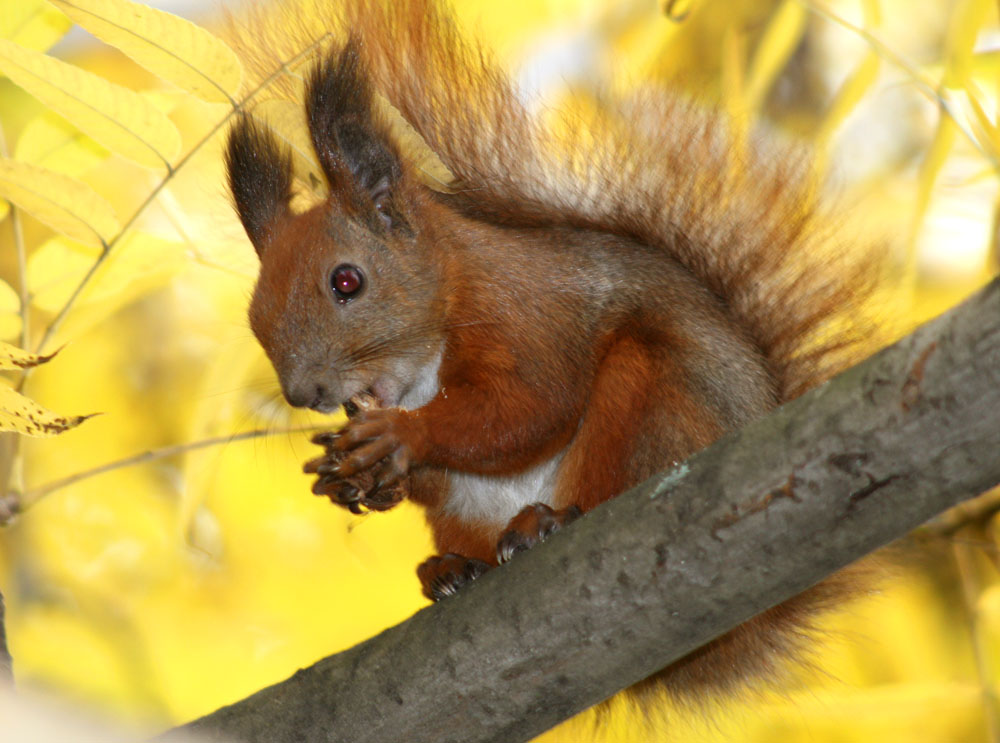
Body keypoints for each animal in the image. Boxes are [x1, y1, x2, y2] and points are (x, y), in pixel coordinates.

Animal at [225, 0, 876, 704]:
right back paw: (452, 569)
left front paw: (402, 436)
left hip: (658, 404)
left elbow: (530, 409)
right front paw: (353, 478)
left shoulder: (530, 313)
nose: (305, 392)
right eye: (255, 315)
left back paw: (549, 522)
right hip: (466, 515)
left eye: (347, 281)